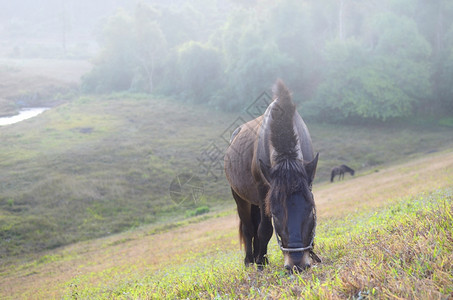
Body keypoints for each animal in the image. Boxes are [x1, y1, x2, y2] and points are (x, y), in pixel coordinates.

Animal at [224, 80, 320, 272]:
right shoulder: (263, 190)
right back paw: (250, 259)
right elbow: (265, 228)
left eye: (310, 210)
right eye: (275, 214)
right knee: (248, 228)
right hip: (240, 197)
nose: (296, 265)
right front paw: (261, 261)